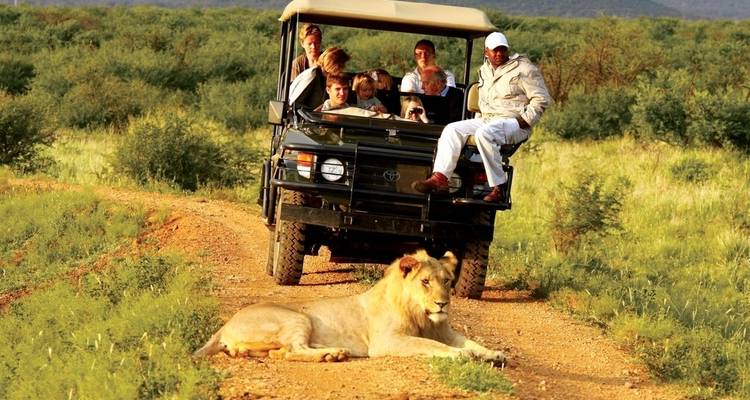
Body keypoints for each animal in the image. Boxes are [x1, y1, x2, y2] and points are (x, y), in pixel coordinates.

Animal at [194, 250, 506, 365]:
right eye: (425, 282)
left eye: (447, 281)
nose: (443, 303)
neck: (423, 316)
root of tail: (224, 324)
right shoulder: (387, 341)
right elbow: (434, 346)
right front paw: (463, 355)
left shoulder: (445, 331)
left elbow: (471, 342)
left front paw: (494, 354)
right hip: (298, 319)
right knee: (294, 350)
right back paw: (332, 354)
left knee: (281, 353)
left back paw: (334, 353)